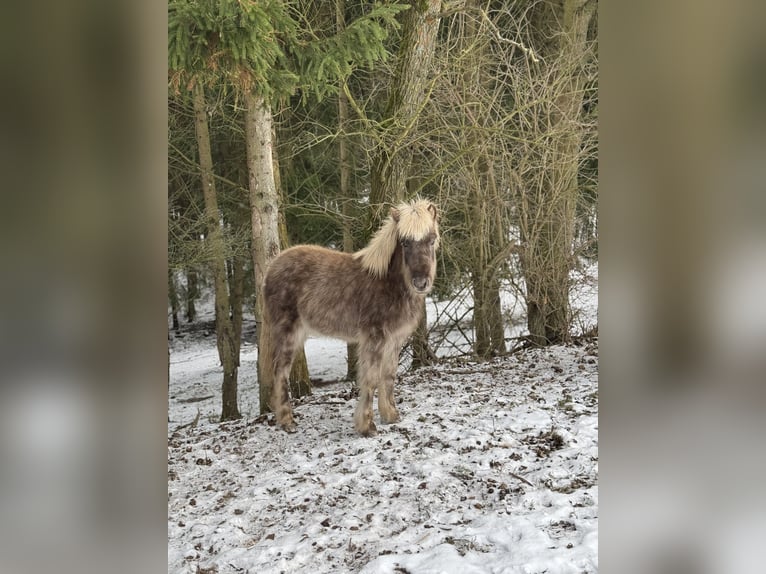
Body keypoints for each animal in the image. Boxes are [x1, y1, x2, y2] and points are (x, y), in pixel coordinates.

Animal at [263, 199, 440, 436]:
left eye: (432, 239)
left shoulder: (394, 341)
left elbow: (388, 377)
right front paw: (367, 426)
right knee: (280, 372)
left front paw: (391, 416)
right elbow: (371, 379)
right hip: (287, 332)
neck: (389, 283)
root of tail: (271, 268)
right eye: (404, 242)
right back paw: (287, 422)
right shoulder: (374, 338)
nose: (421, 283)